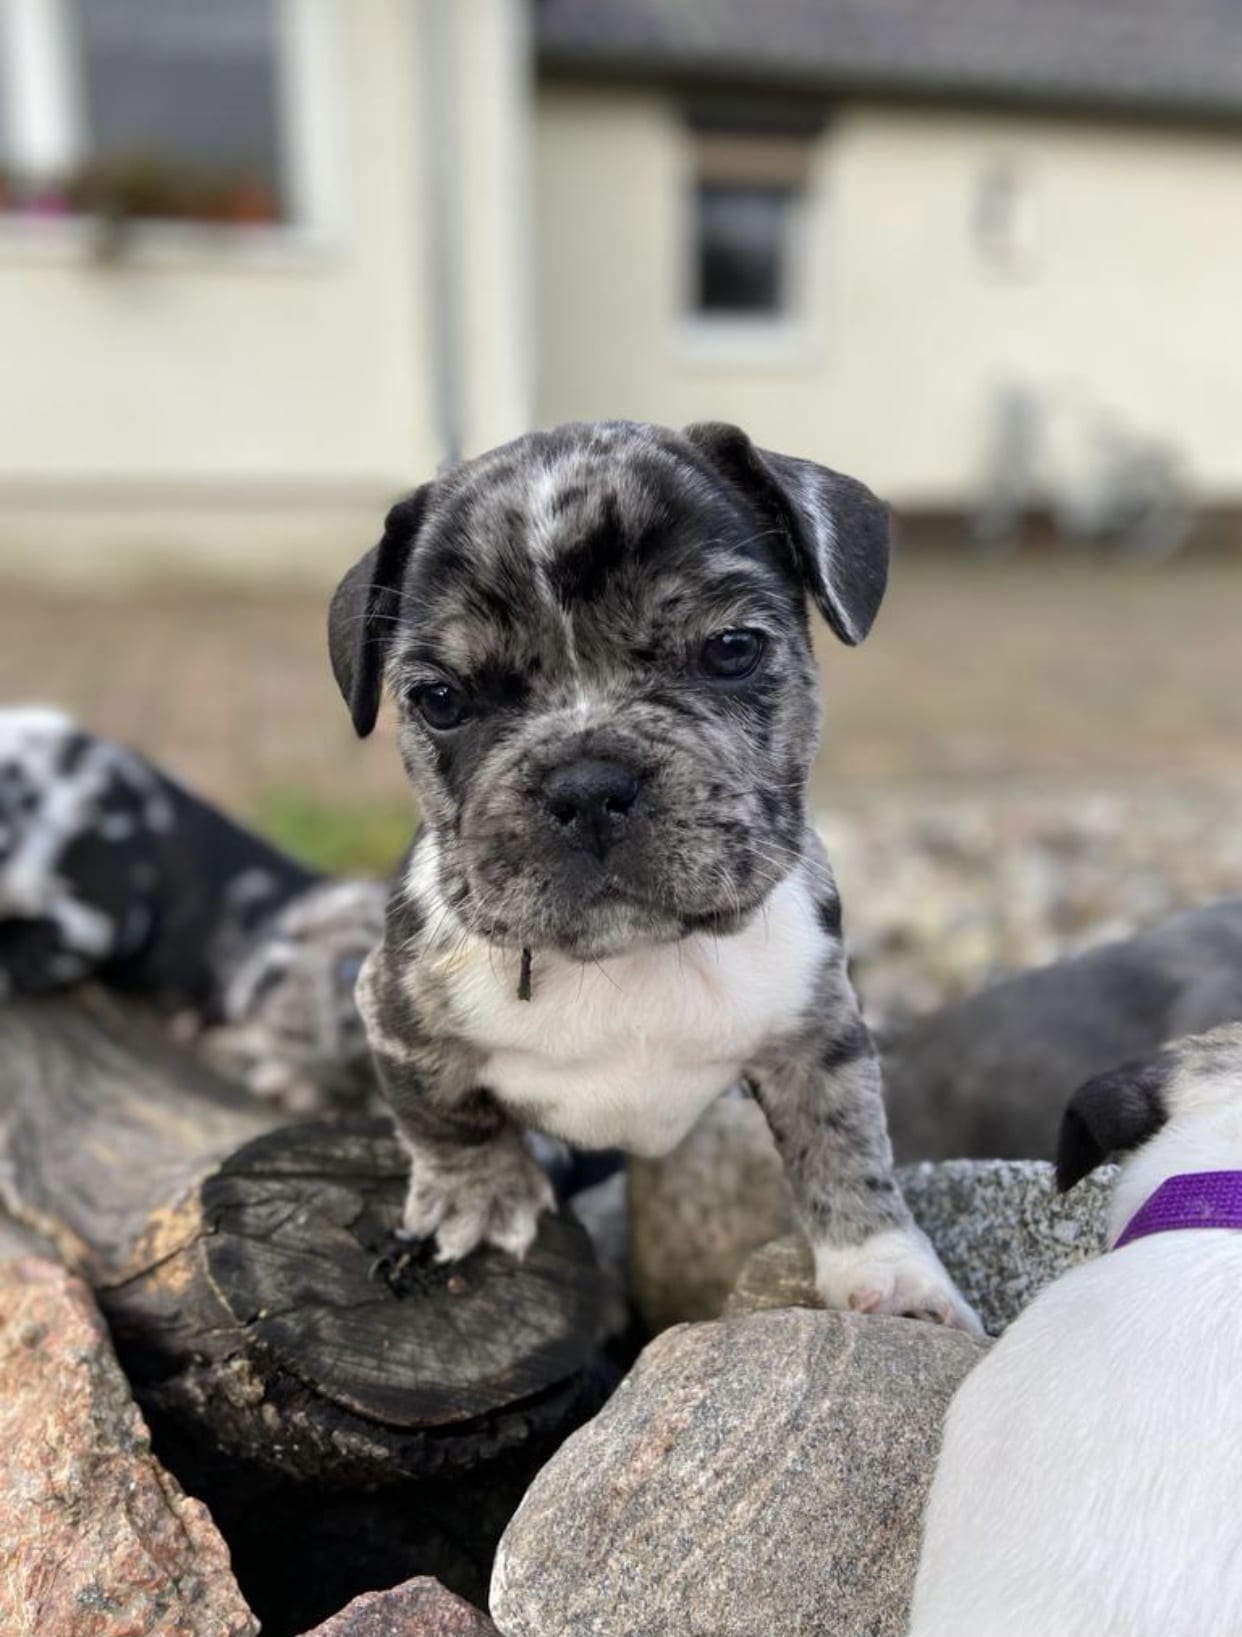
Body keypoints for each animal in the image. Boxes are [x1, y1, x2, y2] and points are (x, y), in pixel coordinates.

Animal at [327, 419, 981, 1329]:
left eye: (732, 649)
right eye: (441, 699)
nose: (587, 784)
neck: (633, 958)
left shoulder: (820, 1026)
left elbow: (845, 1136)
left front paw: (886, 1271)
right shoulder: (395, 1013)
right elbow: (446, 1114)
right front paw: (479, 1198)